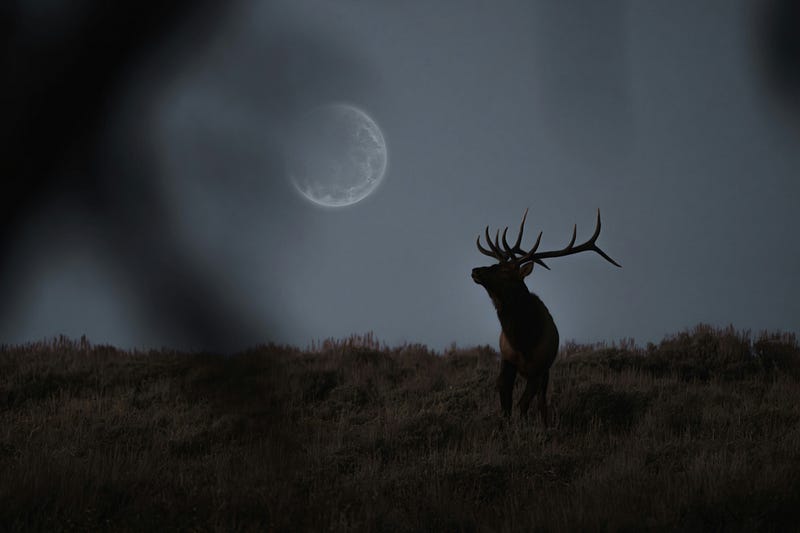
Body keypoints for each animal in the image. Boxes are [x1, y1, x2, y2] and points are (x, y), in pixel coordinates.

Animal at [472, 209, 620, 424]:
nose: (476, 270)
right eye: (494, 264)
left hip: (546, 372)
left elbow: (523, 405)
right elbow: (506, 406)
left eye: (506, 272)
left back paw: (545, 423)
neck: (523, 341)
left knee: (541, 402)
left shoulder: (539, 369)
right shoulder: (507, 362)